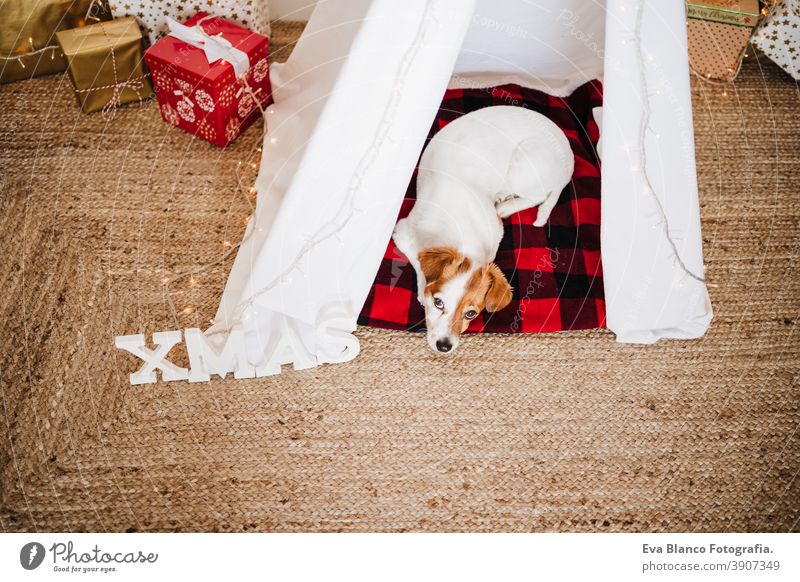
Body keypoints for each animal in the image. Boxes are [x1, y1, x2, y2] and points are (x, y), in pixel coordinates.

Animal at [390, 106, 572, 356]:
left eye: (471, 313)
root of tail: (569, 160)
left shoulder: (496, 233)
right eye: (438, 303)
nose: (444, 346)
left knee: (539, 194)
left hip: (524, 164)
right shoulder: (402, 233)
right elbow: (418, 263)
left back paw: (505, 204)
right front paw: (421, 289)